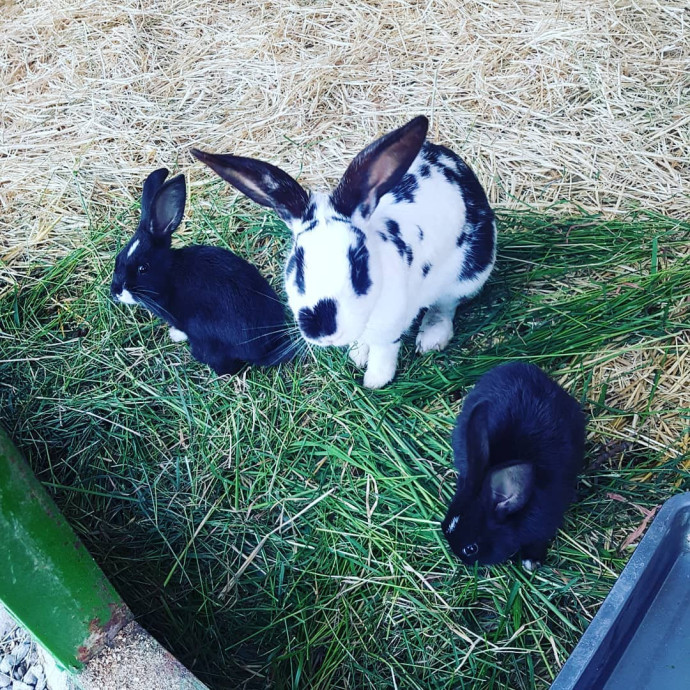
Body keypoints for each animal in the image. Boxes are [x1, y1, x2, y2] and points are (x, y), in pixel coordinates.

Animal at [191, 115, 496, 389]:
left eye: (358, 266)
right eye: (297, 266)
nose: (323, 329)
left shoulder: (391, 326)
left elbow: (384, 352)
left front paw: (375, 381)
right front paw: (357, 355)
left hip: (469, 273)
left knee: (446, 304)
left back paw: (432, 337)